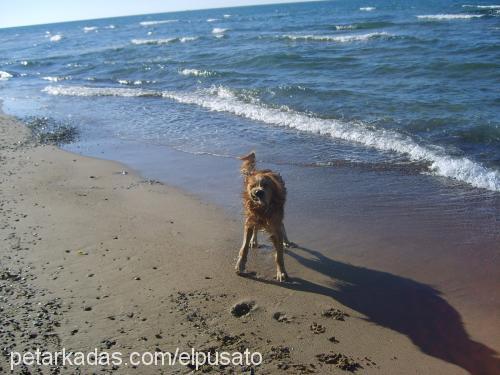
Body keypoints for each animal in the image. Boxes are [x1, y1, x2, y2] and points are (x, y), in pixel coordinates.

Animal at [236, 152, 294, 282]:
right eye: (252, 186)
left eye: (266, 185)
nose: (258, 192)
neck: (262, 210)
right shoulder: (250, 220)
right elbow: (244, 247)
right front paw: (240, 265)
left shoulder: (275, 224)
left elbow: (279, 255)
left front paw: (281, 272)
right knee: (256, 228)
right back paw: (254, 241)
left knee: (282, 225)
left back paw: (286, 241)